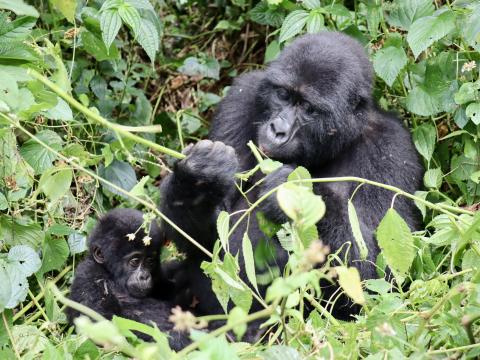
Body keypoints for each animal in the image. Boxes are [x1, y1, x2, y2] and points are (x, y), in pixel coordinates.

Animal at [66, 208, 190, 352]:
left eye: (150, 261)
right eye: (135, 261)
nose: (144, 276)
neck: (110, 275)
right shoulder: (88, 278)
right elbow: (102, 326)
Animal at [159, 31, 422, 318]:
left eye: (307, 108)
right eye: (283, 95)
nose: (277, 130)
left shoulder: (391, 148)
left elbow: (382, 277)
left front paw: (294, 192)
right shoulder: (241, 98)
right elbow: (206, 238)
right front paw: (197, 180)